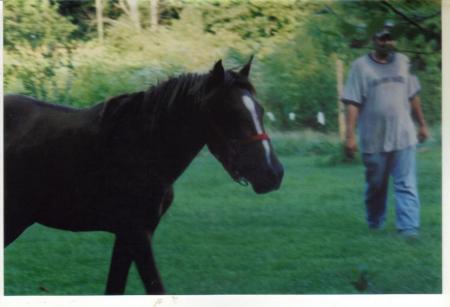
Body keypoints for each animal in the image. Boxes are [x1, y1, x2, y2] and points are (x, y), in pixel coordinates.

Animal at [5, 58, 284, 296]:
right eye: (230, 113)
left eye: (260, 110)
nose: (273, 172)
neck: (141, 145)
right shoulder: (137, 232)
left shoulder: (128, 234)